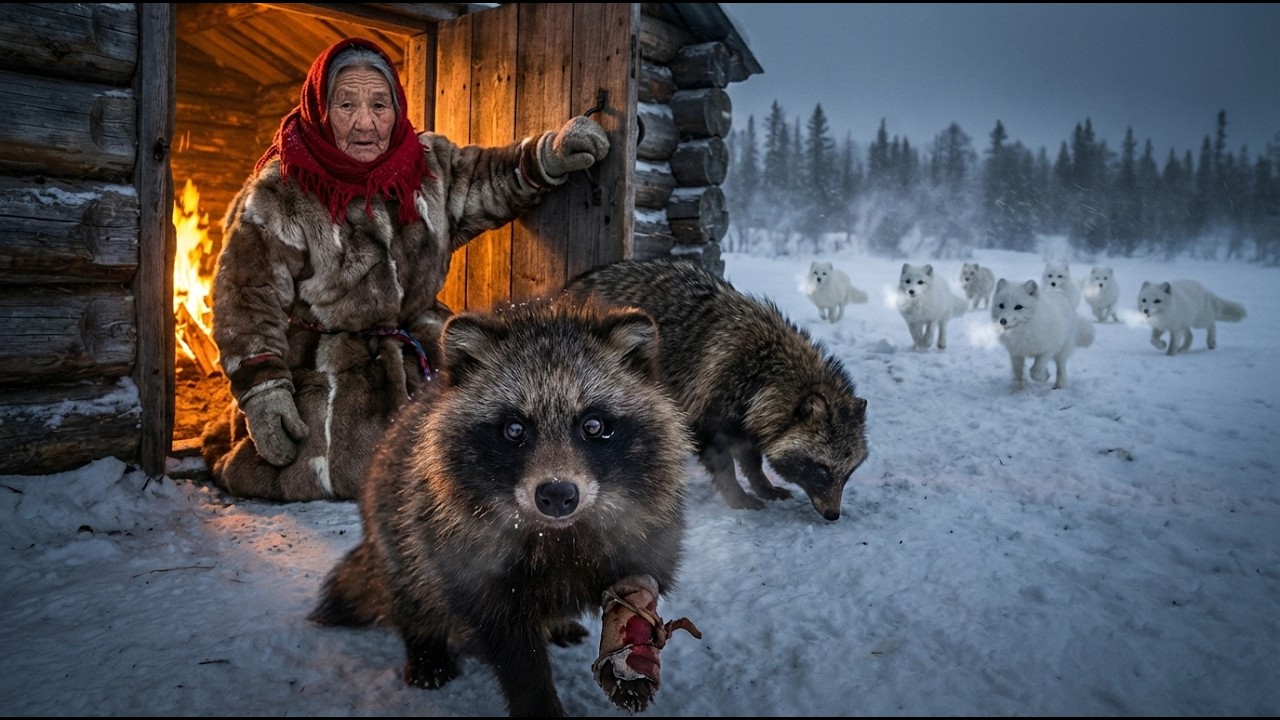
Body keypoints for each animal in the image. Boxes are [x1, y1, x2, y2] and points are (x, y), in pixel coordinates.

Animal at [308, 298, 695, 717]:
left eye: (593, 425)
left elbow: (643, 567)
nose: (557, 495)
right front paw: (538, 704)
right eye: (514, 429)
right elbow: (514, 649)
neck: (556, 532)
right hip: (396, 525)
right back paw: (425, 644)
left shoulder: (649, 518)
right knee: (413, 587)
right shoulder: (461, 548)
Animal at [565, 257, 869, 522]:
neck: (765, 372)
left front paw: (764, 487)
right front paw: (737, 497)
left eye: (848, 473)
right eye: (821, 470)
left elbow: (753, 463)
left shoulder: (747, 422)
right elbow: (726, 469)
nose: (833, 515)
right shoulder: (707, 416)